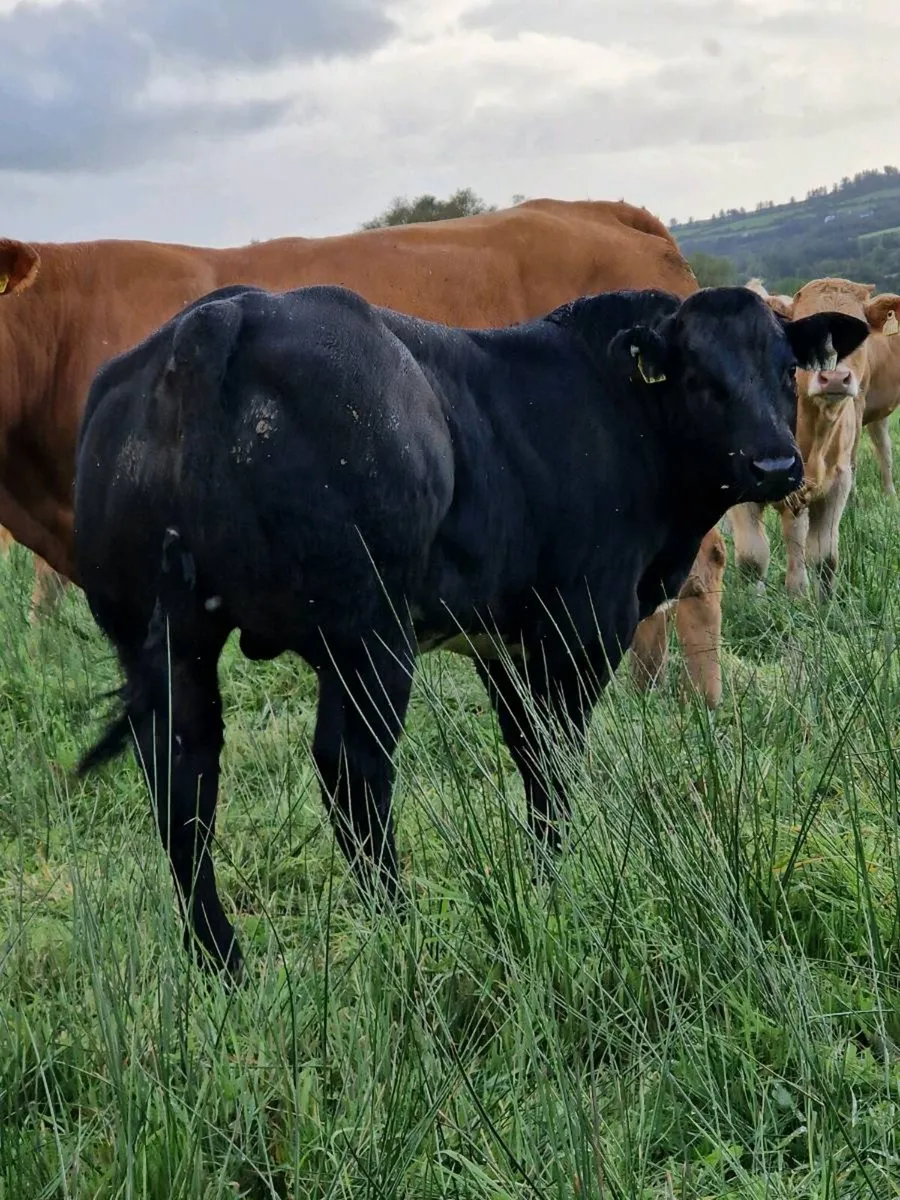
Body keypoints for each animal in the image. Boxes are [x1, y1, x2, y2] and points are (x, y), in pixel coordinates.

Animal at [73, 280, 868, 974]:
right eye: (699, 376)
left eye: (787, 366)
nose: (776, 462)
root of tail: (222, 316)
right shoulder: (578, 628)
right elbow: (553, 762)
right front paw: (553, 886)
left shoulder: (505, 642)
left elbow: (528, 753)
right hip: (369, 639)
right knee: (352, 772)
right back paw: (399, 927)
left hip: (170, 646)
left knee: (183, 785)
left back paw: (224, 965)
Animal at [730, 277, 900, 596]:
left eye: (859, 332)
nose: (833, 378)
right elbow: (752, 557)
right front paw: (753, 604)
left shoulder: (839, 480)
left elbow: (824, 555)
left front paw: (817, 601)